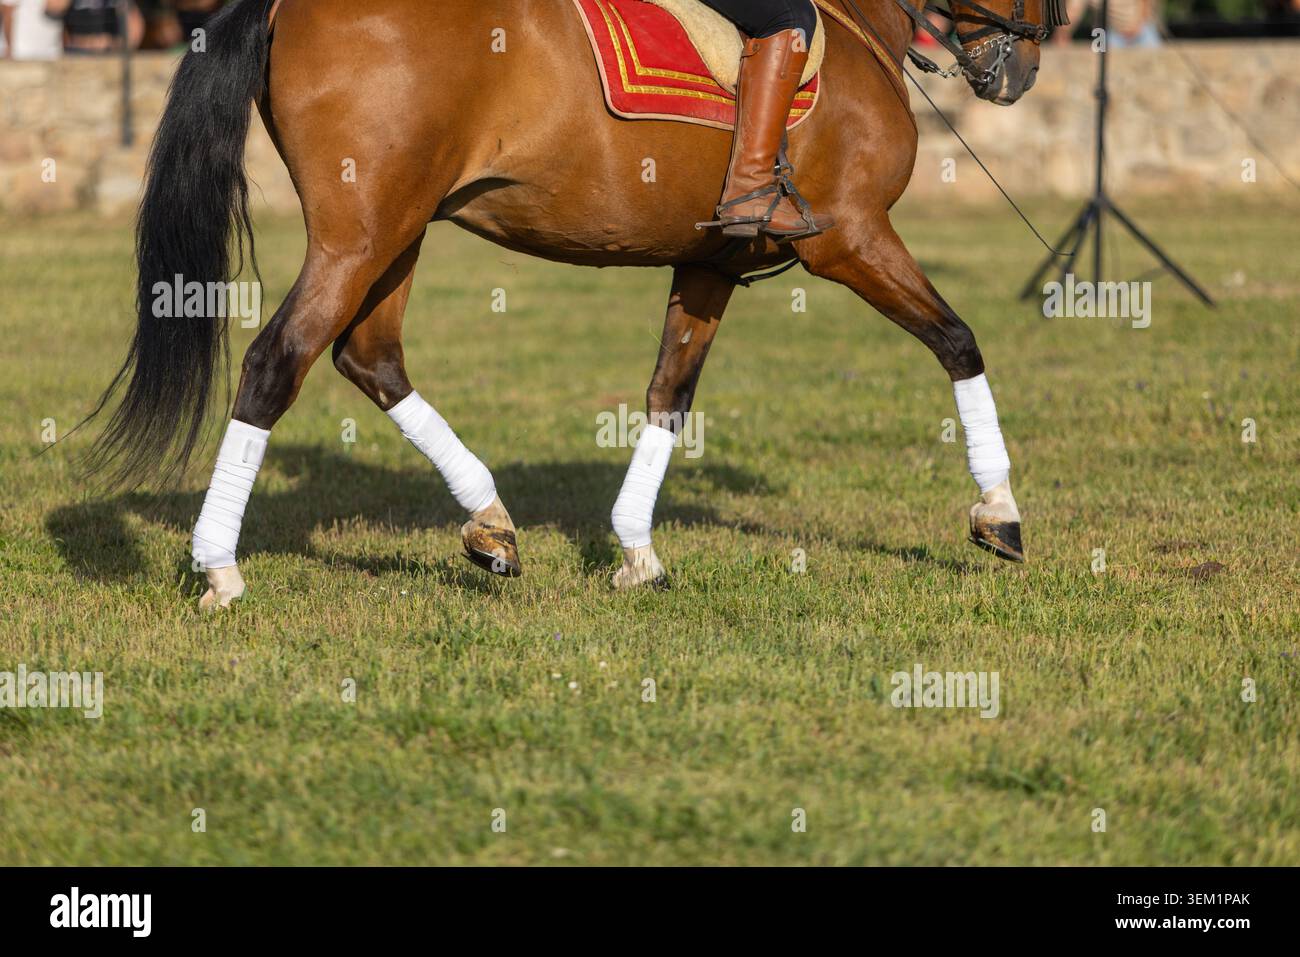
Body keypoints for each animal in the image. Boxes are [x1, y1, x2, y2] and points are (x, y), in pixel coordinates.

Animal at [85, 0, 1054, 609]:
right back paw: (219, 567)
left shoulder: (709, 261)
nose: (1029, 62)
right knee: (274, 363)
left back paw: (489, 523)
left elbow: (668, 395)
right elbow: (960, 341)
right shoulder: (851, 236)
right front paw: (998, 513)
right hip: (361, 235)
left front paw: (635, 550)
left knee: (370, 356)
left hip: (394, 232)